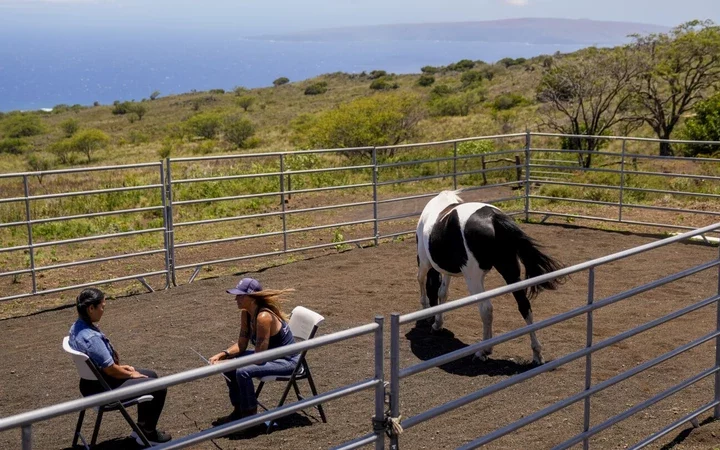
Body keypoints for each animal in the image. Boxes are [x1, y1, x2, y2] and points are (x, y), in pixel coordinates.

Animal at [416, 191, 568, 366]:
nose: (429, 320)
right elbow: (442, 293)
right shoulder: (446, 270)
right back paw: (537, 354)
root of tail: (494, 218)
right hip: (510, 272)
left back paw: (484, 351)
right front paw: (437, 324)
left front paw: (427, 314)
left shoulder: (425, 263)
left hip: (474, 278)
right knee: (524, 306)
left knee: (486, 309)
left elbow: (422, 282)